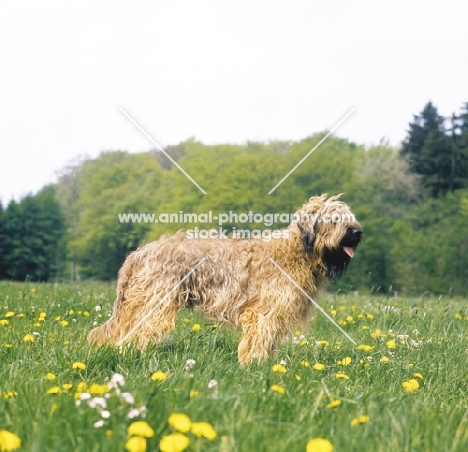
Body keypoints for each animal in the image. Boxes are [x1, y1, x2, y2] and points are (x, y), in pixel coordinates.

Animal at [89, 194, 364, 364]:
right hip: (155, 305)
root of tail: (138, 254)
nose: (357, 232)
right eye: (334, 219)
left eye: (350, 217)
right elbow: (258, 339)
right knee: (134, 334)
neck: (299, 252)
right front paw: (253, 365)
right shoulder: (262, 313)